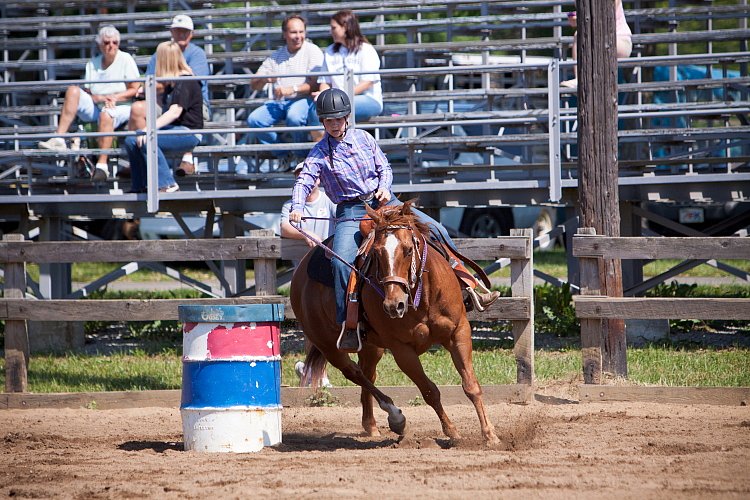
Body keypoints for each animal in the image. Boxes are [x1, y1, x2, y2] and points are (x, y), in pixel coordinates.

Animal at [290, 201, 502, 444]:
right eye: (376, 253)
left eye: (409, 250)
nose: (394, 304)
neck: (424, 298)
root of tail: (300, 273)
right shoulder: (402, 350)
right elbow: (429, 391)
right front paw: (452, 432)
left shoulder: (459, 332)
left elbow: (471, 386)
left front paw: (490, 434)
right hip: (328, 346)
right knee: (354, 373)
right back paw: (395, 416)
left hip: (372, 346)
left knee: (367, 372)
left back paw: (371, 426)